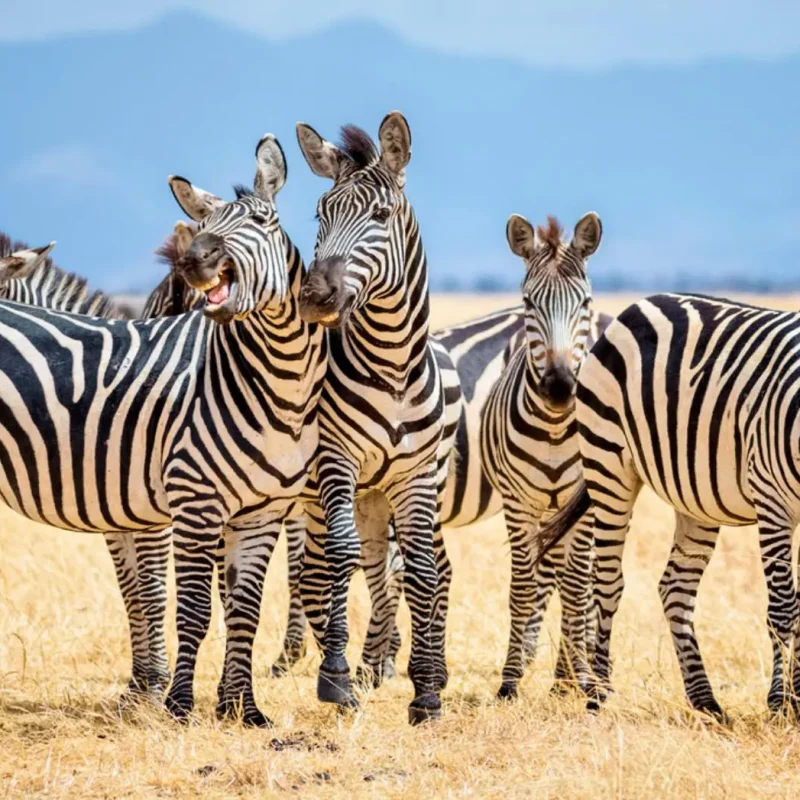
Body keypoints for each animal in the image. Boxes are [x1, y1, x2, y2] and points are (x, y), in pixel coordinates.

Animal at [0, 133, 327, 727]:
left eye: (262, 220)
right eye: (204, 225)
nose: (199, 258)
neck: (277, 380)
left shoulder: (256, 510)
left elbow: (236, 606)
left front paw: (239, 708)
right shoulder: (175, 505)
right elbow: (178, 602)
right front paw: (171, 700)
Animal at [295, 112, 462, 724]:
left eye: (381, 216)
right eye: (319, 215)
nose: (315, 297)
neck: (391, 364)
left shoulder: (414, 476)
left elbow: (422, 569)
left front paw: (427, 691)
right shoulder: (336, 462)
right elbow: (341, 560)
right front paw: (337, 678)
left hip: (402, 486)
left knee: (409, 567)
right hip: (341, 494)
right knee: (345, 566)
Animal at [479, 213, 603, 700]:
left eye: (585, 302)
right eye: (529, 303)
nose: (559, 387)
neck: (553, 427)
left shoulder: (585, 507)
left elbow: (577, 589)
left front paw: (582, 678)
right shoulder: (518, 505)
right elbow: (523, 587)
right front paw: (510, 681)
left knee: (580, 582)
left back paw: (571, 674)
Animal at [537, 292, 800, 718]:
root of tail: (640, 305)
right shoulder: (772, 499)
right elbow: (783, 608)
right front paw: (782, 704)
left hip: (696, 499)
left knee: (676, 586)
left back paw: (705, 700)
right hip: (609, 465)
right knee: (607, 581)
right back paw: (598, 696)